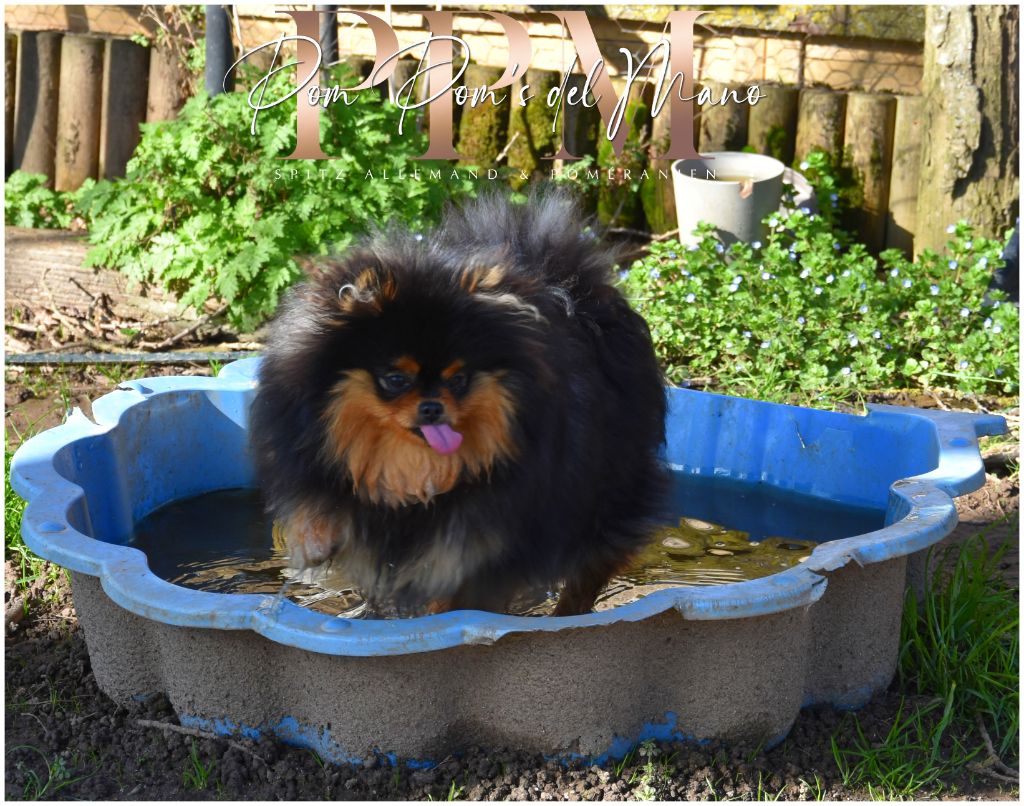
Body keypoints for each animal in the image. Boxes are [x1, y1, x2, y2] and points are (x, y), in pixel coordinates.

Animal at [249, 190, 667, 616]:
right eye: (396, 379)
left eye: (459, 379)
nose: (433, 407)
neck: (410, 470)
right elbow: (314, 510)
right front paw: (316, 542)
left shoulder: (481, 532)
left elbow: (456, 588)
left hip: (606, 488)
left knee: (594, 562)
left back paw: (568, 613)